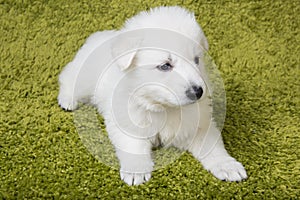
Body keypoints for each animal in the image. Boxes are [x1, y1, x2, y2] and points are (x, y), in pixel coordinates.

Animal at [58, 6, 246, 185]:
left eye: (196, 60)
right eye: (165, 66)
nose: (198, 92)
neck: (164, 107)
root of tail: (98, 36)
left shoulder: (199, 124)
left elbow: (213, 147)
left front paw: (228, 166)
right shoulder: (128, 122)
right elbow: (134, 146)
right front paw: (136, 171)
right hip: (85, 79)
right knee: (68, 77)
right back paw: (67, 99)